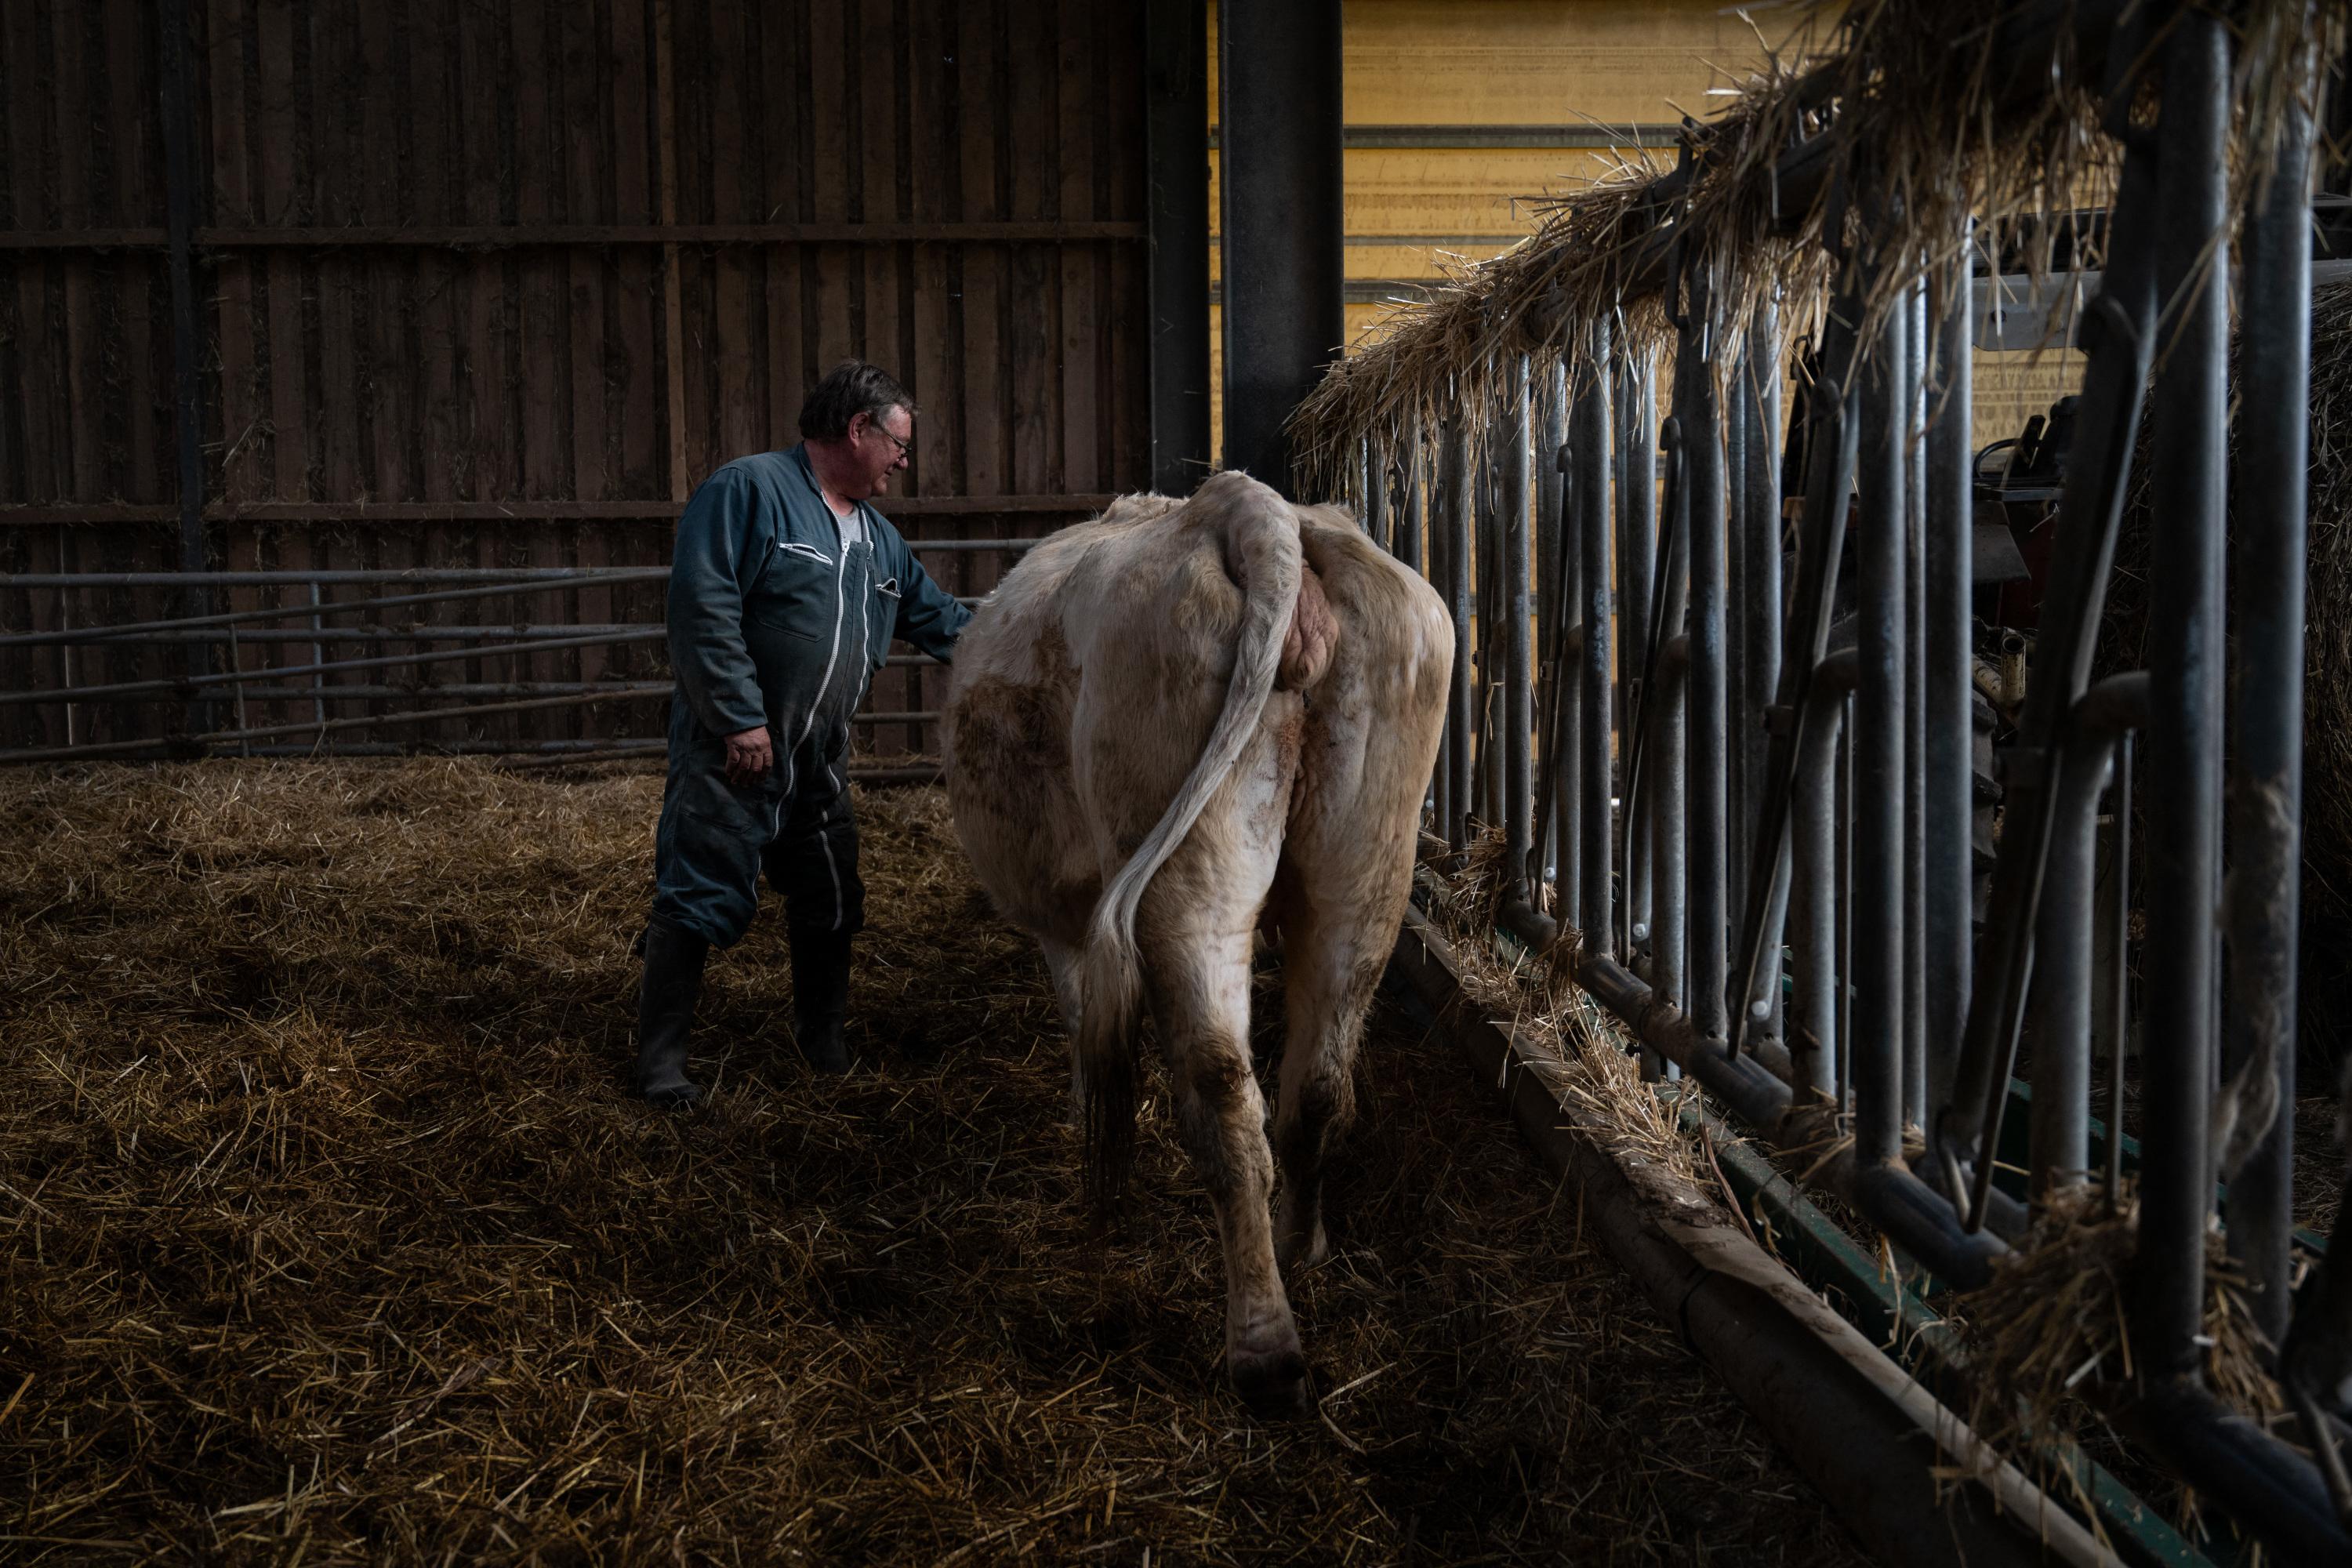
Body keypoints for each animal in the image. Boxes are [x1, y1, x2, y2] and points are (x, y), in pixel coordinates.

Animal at [936, 472, 1449, 1420]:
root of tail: (1249, 510)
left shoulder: (1066, 927)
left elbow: (1082, 1018)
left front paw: (1088, 1105)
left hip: (1190, 883)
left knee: (1223, 1094)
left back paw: (1265, 1350)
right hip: (1367, 869)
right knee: (1316, 1085)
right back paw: (1301, 1244)